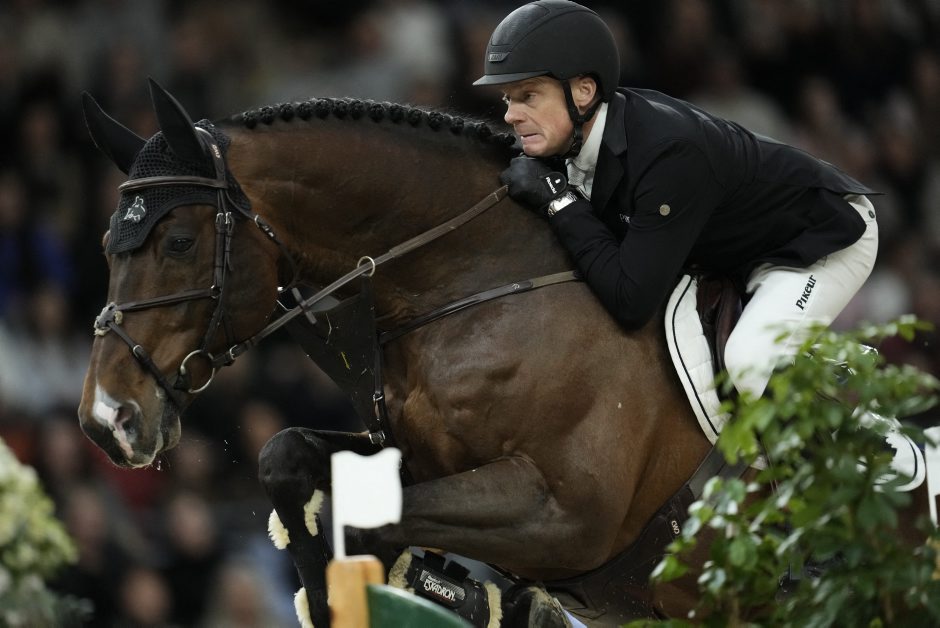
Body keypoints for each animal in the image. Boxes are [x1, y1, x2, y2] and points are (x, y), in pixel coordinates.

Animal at [76, 80, 926, 626]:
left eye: (178, 244)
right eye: (107, 247)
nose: (105, 422)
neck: (475, 281)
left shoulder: (562, 515)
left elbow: (381, 525)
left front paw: (457, 592)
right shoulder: (414, 452)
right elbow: (287, 454)